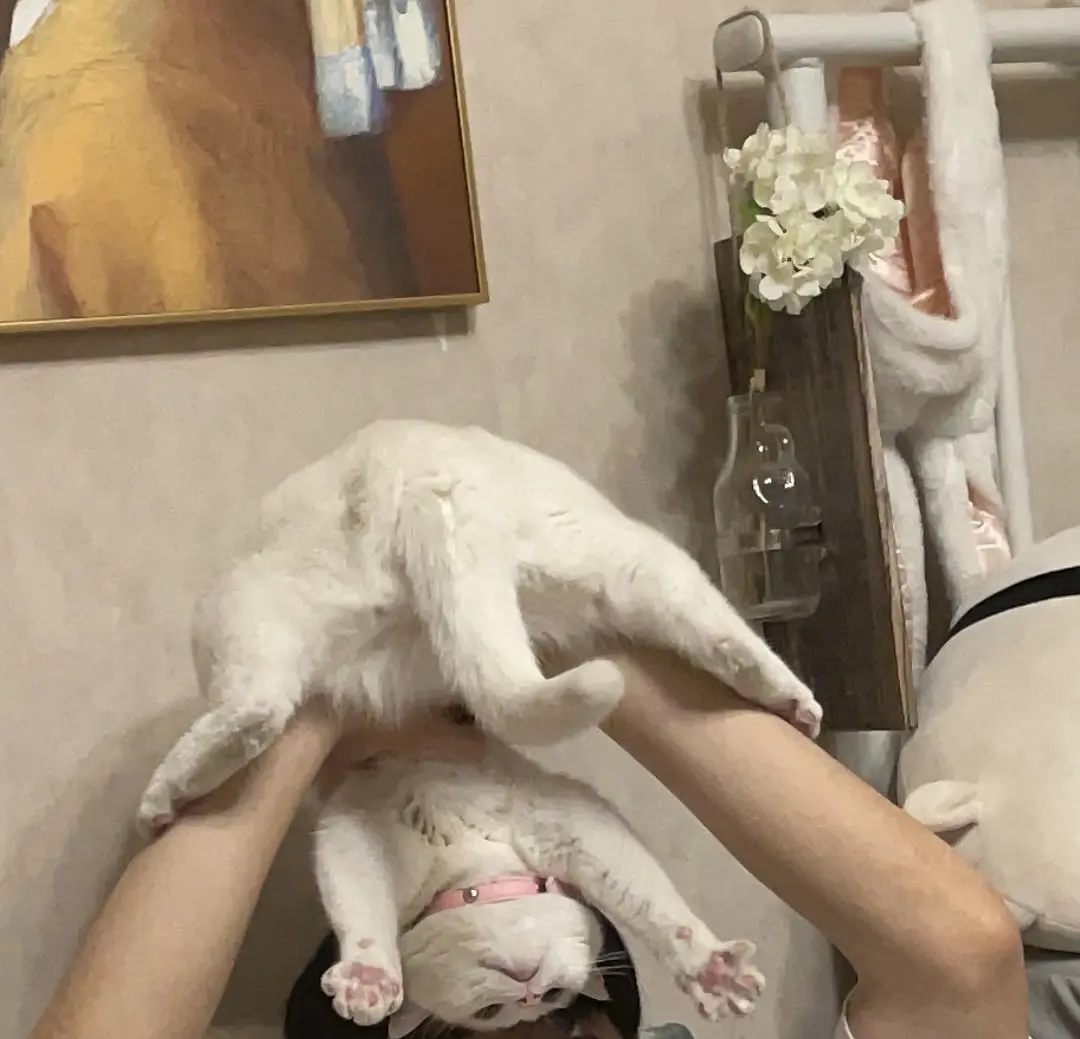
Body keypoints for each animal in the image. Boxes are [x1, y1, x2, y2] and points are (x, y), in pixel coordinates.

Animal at [137, 420, 822, 831]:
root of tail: (423, 481)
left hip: (238, 610)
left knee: (252, 709)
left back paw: (157, 802)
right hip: (619, 566)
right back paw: (796, 702)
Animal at [314, 740, 765, 1032]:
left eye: (554, 996)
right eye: (490, 1013)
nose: (530, 991)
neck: (471, 861)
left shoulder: (569, 818)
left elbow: (647, 898)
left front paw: (712, 970)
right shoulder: (352, 820)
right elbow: (359, 898)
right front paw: (367, 977)